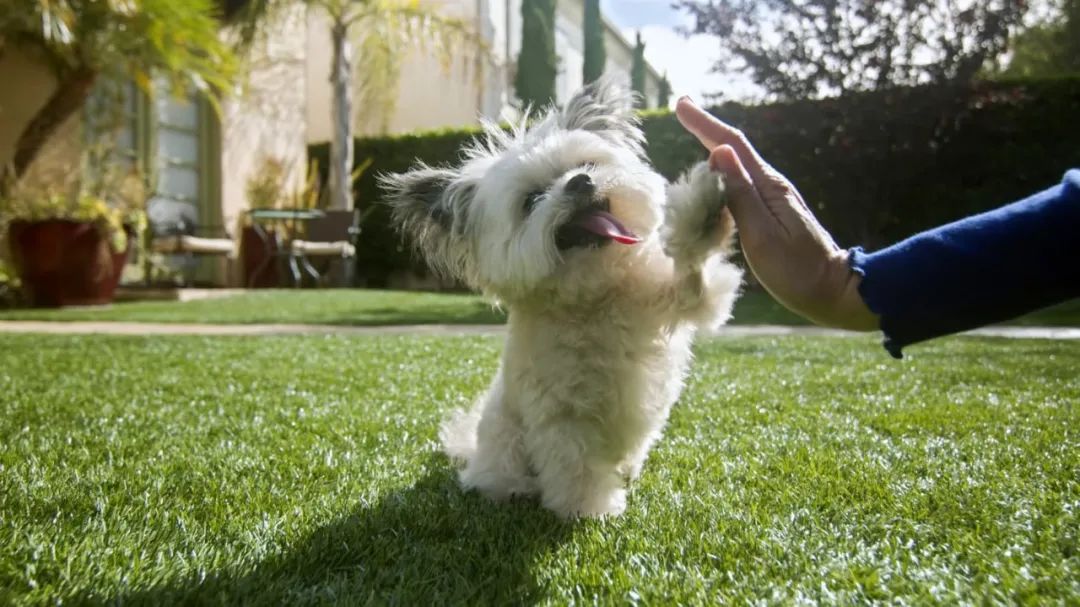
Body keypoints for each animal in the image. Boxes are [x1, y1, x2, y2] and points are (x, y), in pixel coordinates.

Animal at [382, 77, 743, 518]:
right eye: (531, 200)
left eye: (585, 165)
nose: (580, 182)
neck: (593, 297)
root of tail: (474, 453)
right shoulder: (561, 417)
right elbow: (577, 466)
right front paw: (587, 510)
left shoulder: (671, 299)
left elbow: (695, 274)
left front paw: (706, 213)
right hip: (504, 442)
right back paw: (512, 490)